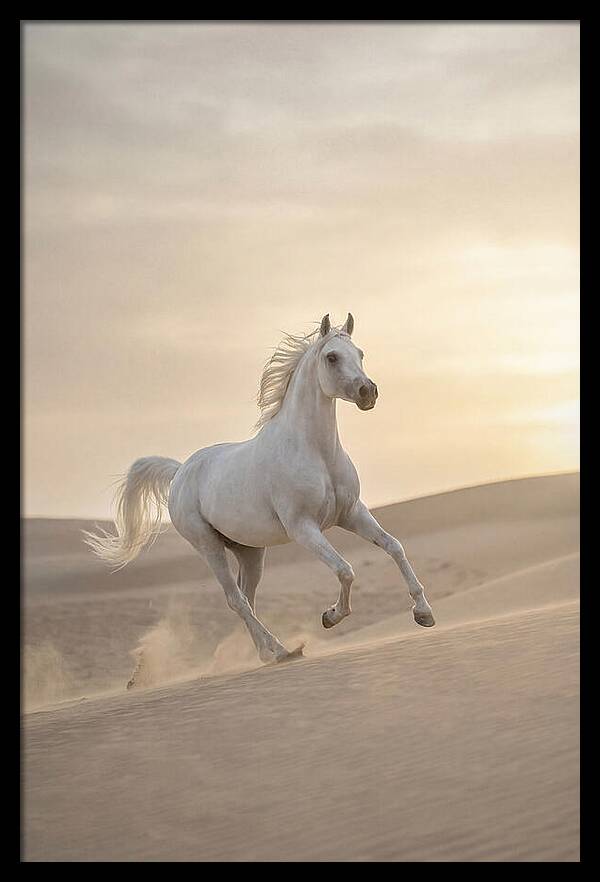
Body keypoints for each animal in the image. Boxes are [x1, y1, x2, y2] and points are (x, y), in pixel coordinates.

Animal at [84, 313, 435, 673]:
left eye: (360, 353)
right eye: (332, 357)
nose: (368, 392)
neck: (316, 452)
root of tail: (180, 471)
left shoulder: (352, 514)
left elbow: (394, 546)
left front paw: (423, 613)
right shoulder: (303, 528)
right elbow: (345, 570)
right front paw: (330, 616)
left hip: (250, 552)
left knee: (247, 598)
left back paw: (267, 652)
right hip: (208, 546)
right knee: (235, 599)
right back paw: (281, 651)